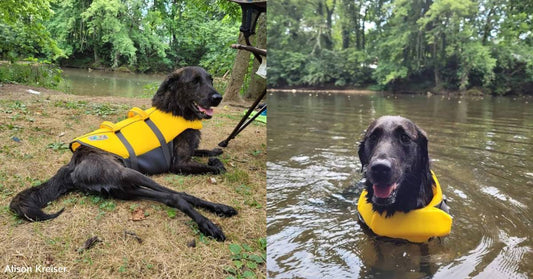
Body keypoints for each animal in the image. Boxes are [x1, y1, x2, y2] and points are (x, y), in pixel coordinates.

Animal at [8, 66, 236, 242]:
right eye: (195, 82)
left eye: (210, 80)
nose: (218, 98)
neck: (175, 109)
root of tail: (73, 163)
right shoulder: (178, 164)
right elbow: (214, 166)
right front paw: (216, 162)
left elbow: (203, 151)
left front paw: (215, 150)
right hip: (128, 174)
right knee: (177, 196)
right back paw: (210, 223)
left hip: (125, 189)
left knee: (170, 197)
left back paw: (221, 209)